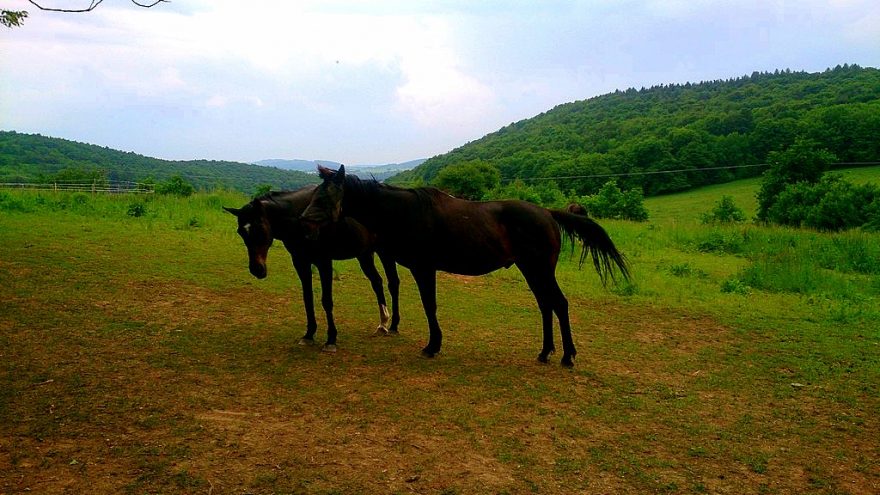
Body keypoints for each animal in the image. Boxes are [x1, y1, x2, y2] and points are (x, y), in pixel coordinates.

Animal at [223, 186, 402, 352]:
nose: (257, 269)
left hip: (385, 252)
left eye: (259, 228)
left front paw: (331, 340)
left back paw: (393, 326)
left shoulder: (324, 262)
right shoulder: (300, 261)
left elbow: (326, 301)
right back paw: (383, 324)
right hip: (364, 254)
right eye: (240, 232)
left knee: (393, 283)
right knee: (377, 282)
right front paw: (309, 335)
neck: (302, 219)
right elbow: (307, 298)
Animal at [300, 167, 628, 368]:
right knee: (546, 305)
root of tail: (547, 213)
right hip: (531, 270)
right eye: (315, 193)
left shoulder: (424, 268)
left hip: (540, 270)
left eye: (326, 195)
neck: (406, 212)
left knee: (558, 304)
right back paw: (545, 352)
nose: (302, 221)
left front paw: (432, 345)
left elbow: (429, 305)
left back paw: (567, 356)